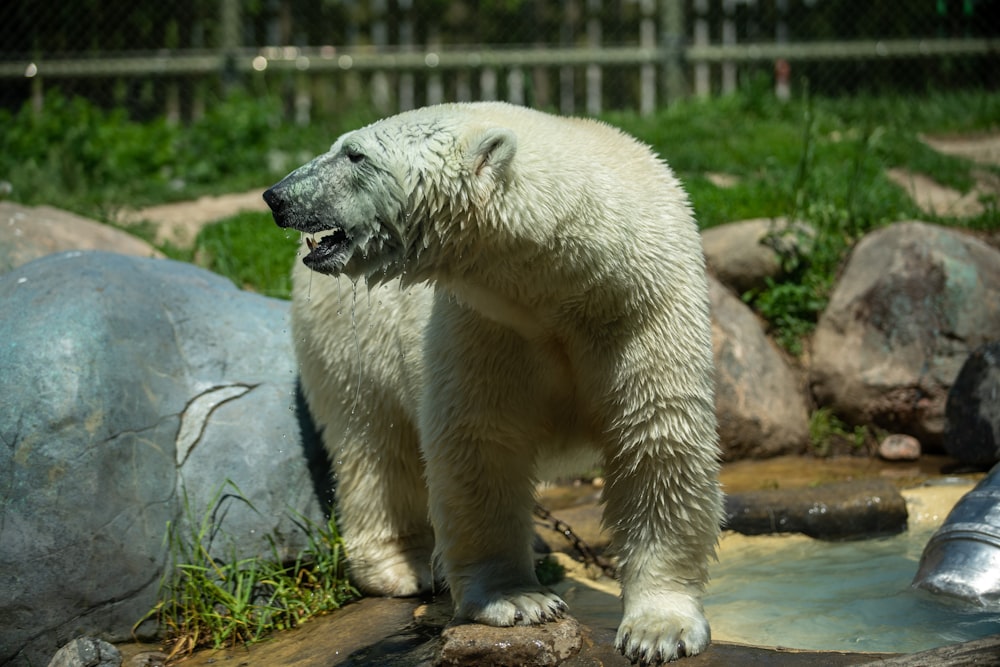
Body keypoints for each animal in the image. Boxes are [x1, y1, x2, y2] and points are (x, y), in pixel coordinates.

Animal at [262, 100, 724, 664]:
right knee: (374, 444)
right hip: (348, 339)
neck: (570, 282)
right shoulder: (485, 323)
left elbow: (658, 441)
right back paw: (401, 567)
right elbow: (481, 446)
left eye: (354, 154)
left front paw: (659, 630)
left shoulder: (644, 310)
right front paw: (519, 601)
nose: (277, 196)